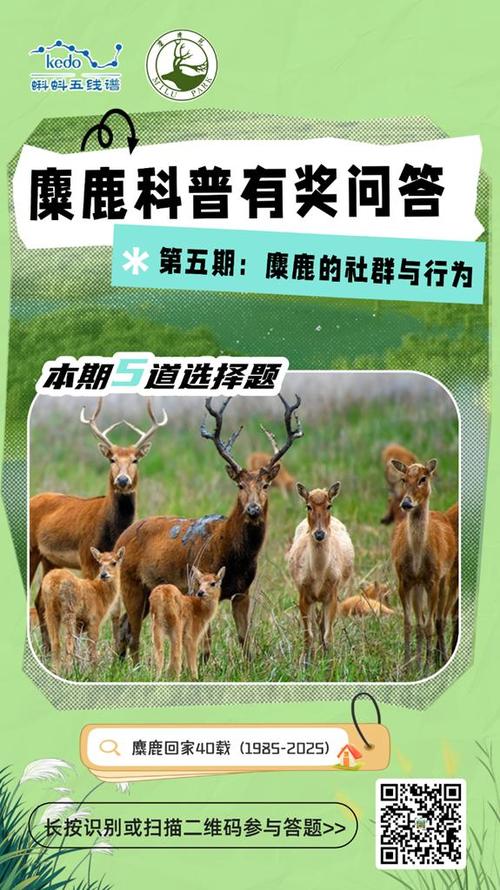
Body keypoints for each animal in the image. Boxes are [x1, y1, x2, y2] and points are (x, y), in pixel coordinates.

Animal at [30, 398, 167, 653]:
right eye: (112, 459)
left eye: (135, 459)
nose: (122, 480)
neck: (110, 530)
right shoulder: (86, 557)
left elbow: (115, 610)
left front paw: (114, 650)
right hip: (33, 550)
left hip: (50, 559)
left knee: (39, 600)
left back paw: (47, 648)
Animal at [41, 546, 125, 675]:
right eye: (99, 563)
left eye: (114, 562)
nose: (103, 575)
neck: (100, 594)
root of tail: (53, 582)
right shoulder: (94, 620)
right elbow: (92, 650)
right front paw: (94, 673)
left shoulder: (80, 624)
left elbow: (78, 647)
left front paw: (80, 670)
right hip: (69, 610)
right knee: (68, 643)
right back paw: (68, 672)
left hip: (49, 611)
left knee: (56, 642)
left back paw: (56, 671)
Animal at [116, 394, 303, 665]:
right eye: (240, 485)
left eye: (266, 485)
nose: (253, 509)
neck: (230, 552)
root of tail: (121, 538)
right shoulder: (197, 586)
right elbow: (204, 645)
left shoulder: (242, 591)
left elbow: (244, 639)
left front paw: (247, 668)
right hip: (131, 582)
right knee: (133, 632)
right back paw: (135, 667)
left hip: (148, 590)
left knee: (123, 626)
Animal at [287, 482, 354, 665]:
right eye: (308, 506)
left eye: (329, 505)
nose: (319, 534)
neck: (318, 575)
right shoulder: (303, 594)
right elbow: (308, 635)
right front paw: (305, 664)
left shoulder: (332, 594)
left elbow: (328, 635)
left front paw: (331, 665)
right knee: (316, 625)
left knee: (321, 625)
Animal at [390, 458, 458, 674]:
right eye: (403, 479)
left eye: (423, 478)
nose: (406, 503)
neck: (418, 559)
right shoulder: (403, 580)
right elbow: (409, 624)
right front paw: (407, 666)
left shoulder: (433, 580)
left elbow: (428, 625)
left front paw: (427, 666)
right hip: (418, 586)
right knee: (422, 623)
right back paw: (421, 662)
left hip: (445, 577)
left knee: (439, 619)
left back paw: (439, 658)